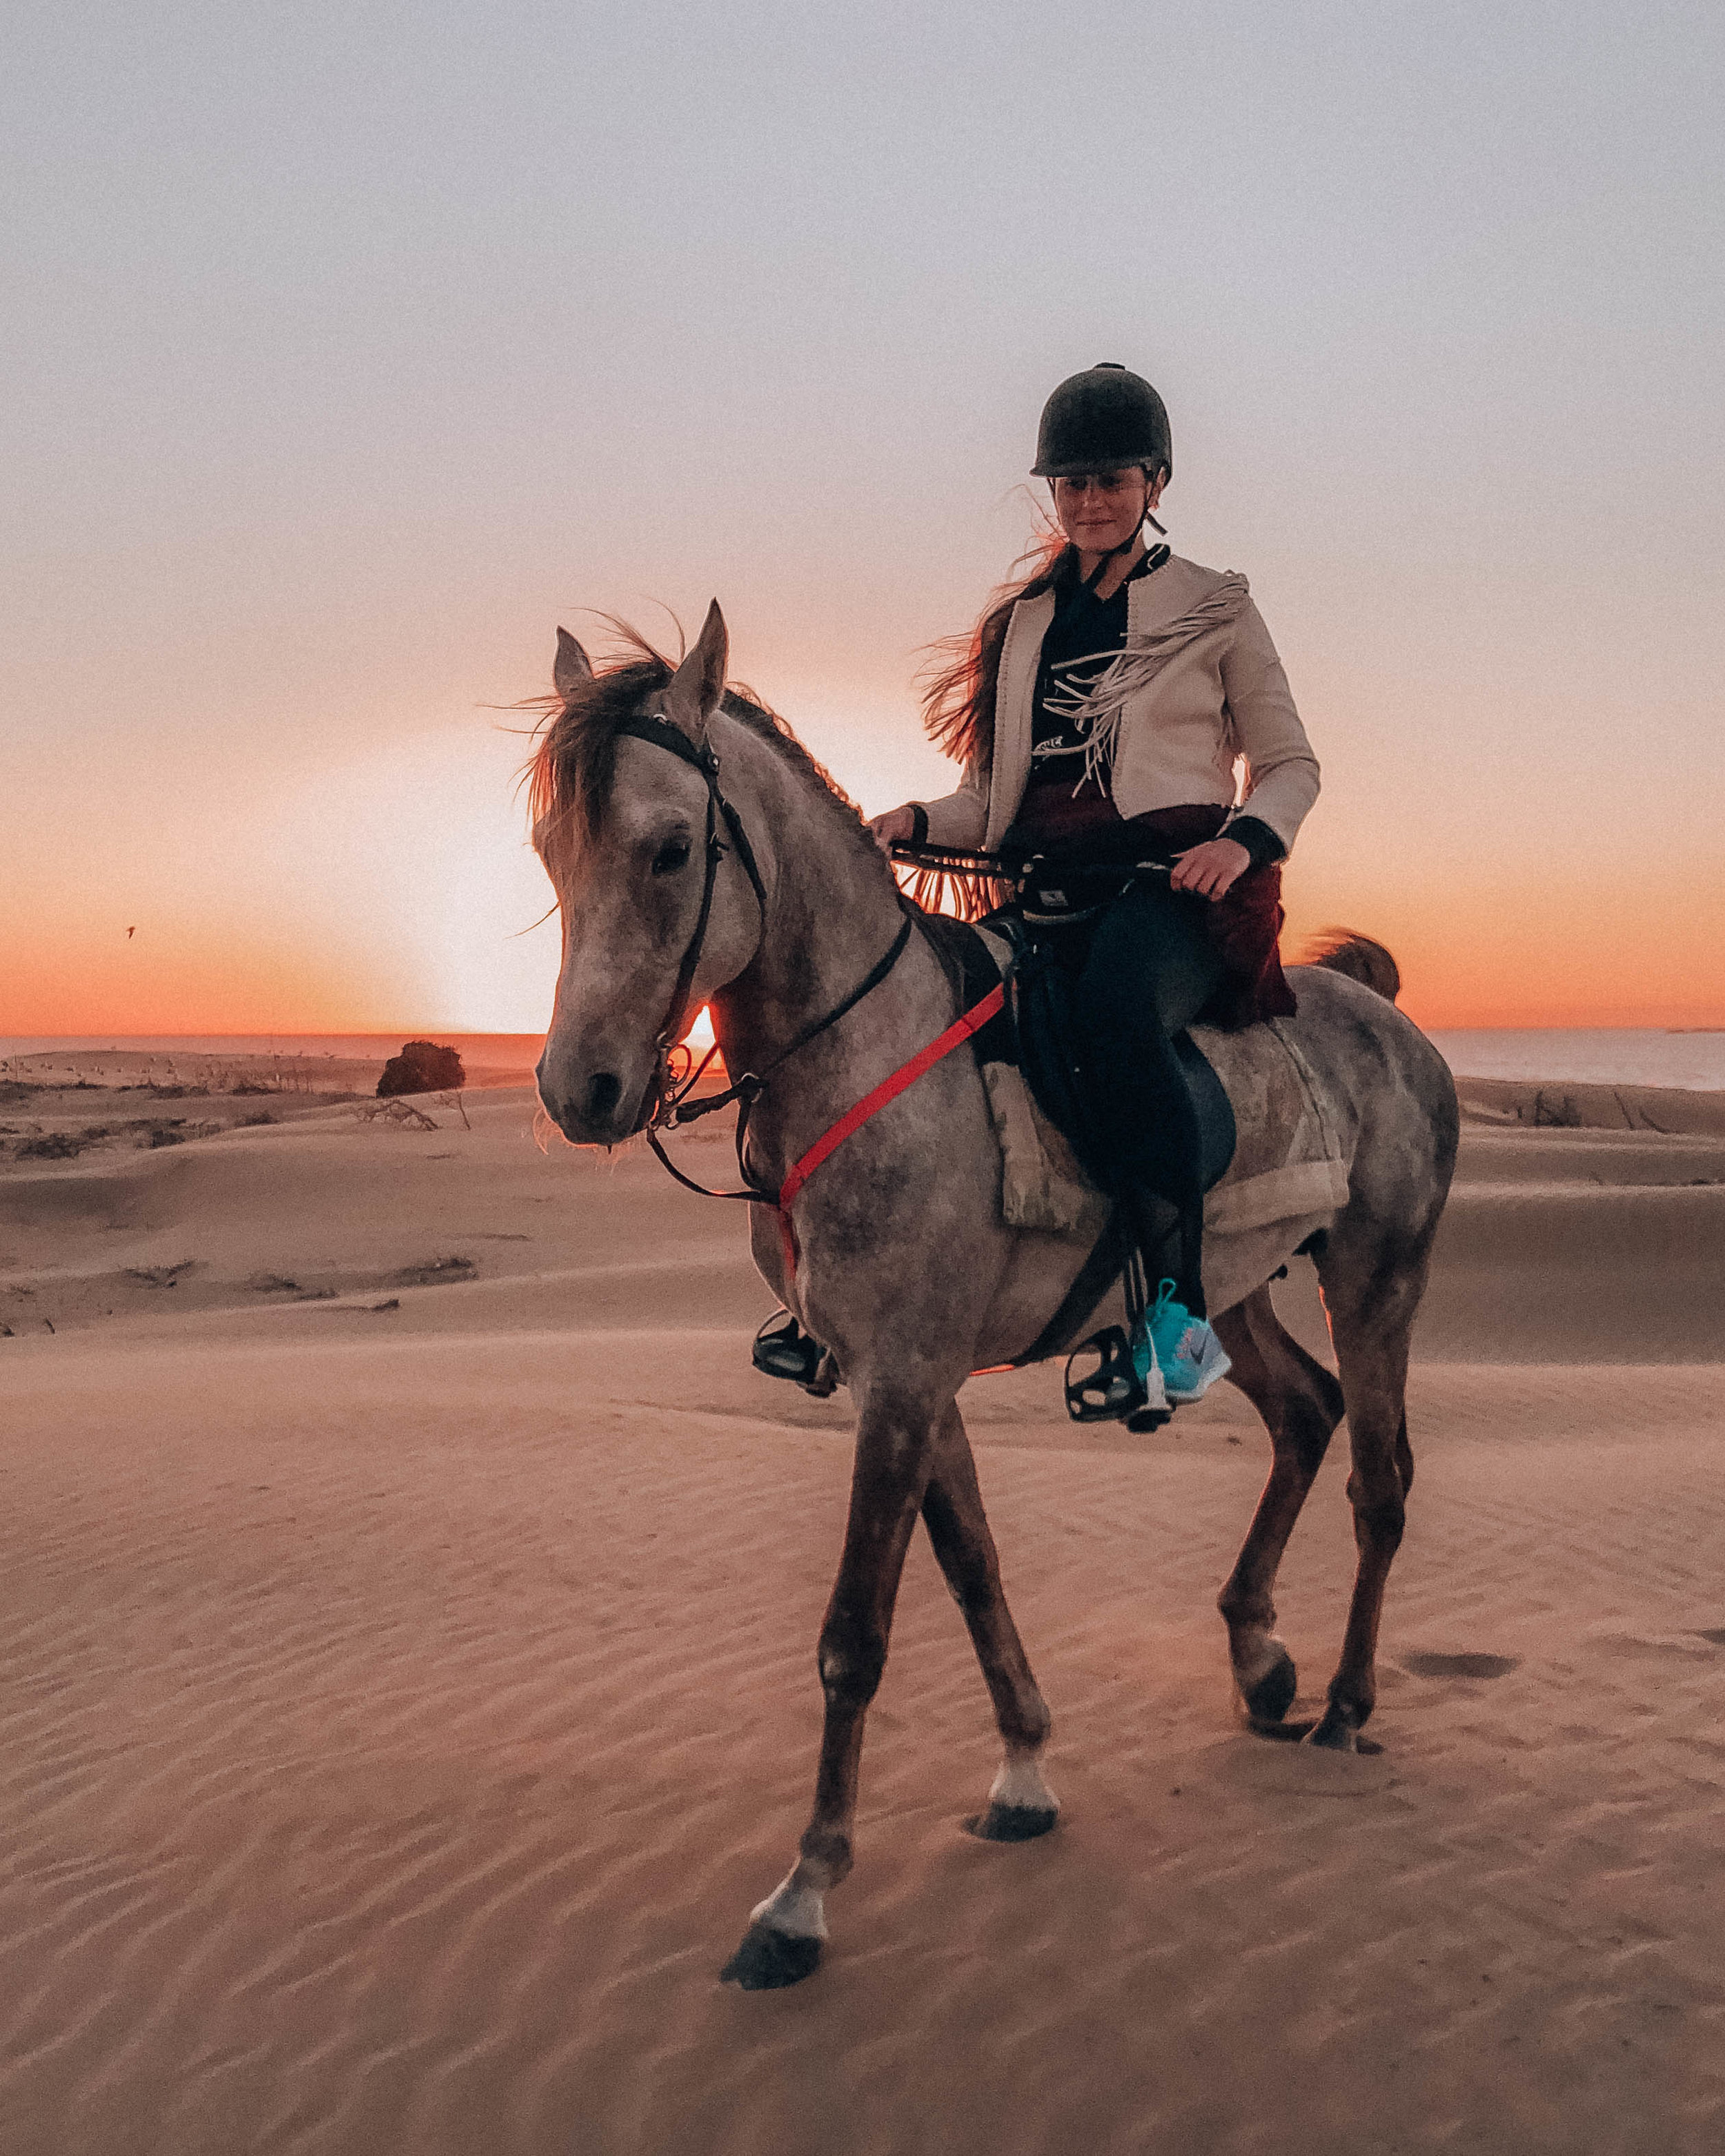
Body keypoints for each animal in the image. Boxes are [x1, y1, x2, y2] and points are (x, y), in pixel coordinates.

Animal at [532, 604, 1466, 1984]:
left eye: (668, 849)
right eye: (553, 854)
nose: (577, 1090)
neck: (863, 1050)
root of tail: (1392, 1017)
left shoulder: (906, 1377)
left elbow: (856, 1634)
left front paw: (802, 1896)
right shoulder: (909, 1376)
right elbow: (973, 1568)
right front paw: (1024, 1773)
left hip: (1376, 1274)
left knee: (1381, 1476)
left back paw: (1348, 1704)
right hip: (1233, 1286)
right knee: (1306, 1414)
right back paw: (1260, 1659)